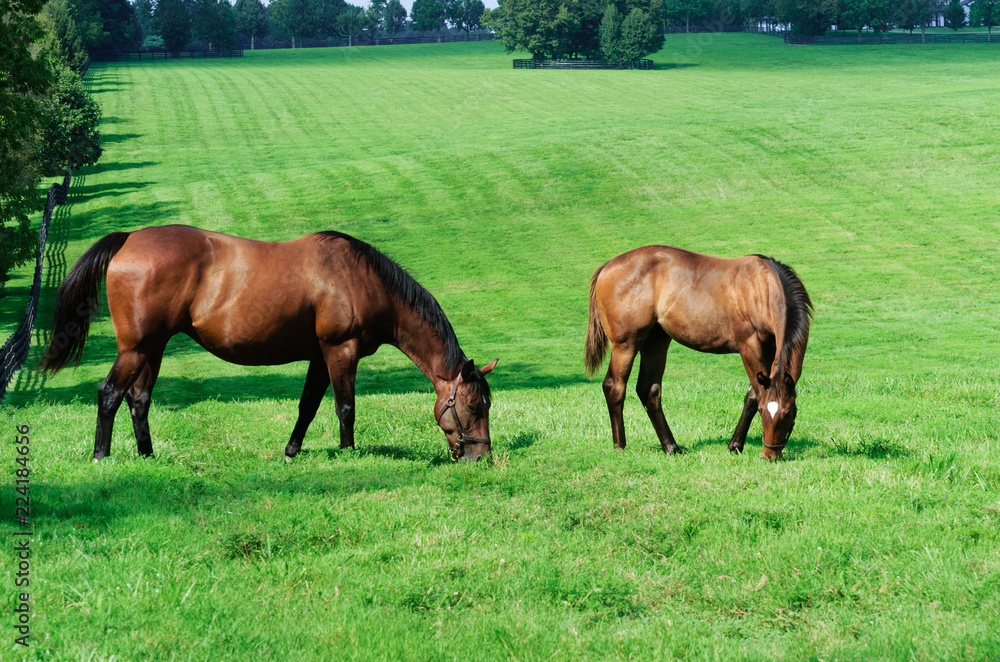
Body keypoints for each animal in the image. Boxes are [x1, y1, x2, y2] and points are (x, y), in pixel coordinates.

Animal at [40, 225, 498, 462]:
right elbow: (345, 407)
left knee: (138, 399)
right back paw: (101, 457)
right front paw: (348, 453)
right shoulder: (340, 350)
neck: (360, 278)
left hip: (154, 348)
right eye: (473, 406)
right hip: (135, 349)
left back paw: (148, 456)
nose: (482, 458)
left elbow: (308, 406)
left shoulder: (319, 356)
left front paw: (292, 451)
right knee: (109, 394)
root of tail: (130, 236)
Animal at [585, 246, 812, 460]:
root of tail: (607, 266)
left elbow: (752, 395)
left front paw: (735, 445)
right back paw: (620, 446)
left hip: (656, 340)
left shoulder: (770, 348)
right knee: (614, 387)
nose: (769, 455)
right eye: (763, 412)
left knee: (649, 390)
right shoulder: (749, 345)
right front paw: (736, 445)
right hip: (625, 344)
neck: (761, 287)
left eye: (788, 413)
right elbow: (757, 394)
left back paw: (671, 447)